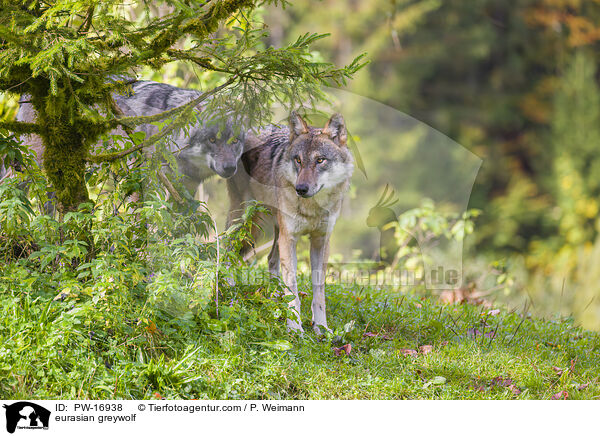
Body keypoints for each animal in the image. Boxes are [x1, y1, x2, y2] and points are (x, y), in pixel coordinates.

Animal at [227, 110, 354, 332]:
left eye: (320, 160)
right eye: (298, 160)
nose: (300, 188)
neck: (313, 208)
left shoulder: (321, 241)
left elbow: (319, 290)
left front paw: (321, 328)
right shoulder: (290, 239)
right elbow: (293, 287)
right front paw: (295, 328)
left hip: (276, 230)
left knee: (271, 259)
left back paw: (274, 297)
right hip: (246, 220)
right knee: (224, 247)